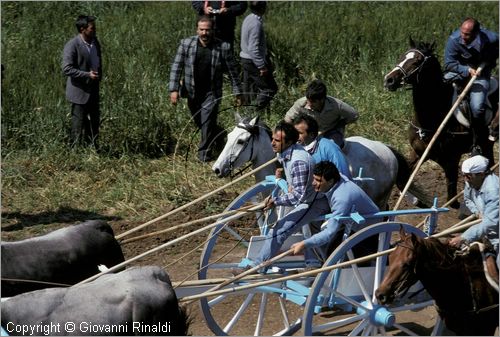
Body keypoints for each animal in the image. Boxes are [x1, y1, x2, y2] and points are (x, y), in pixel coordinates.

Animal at [382, 39, 496, 207]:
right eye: (402, 56)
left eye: (417, 61)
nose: (389, 80)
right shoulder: (418, 152)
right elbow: (404, 179)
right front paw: (416, 199)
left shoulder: (452, 159)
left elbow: (451, 193)